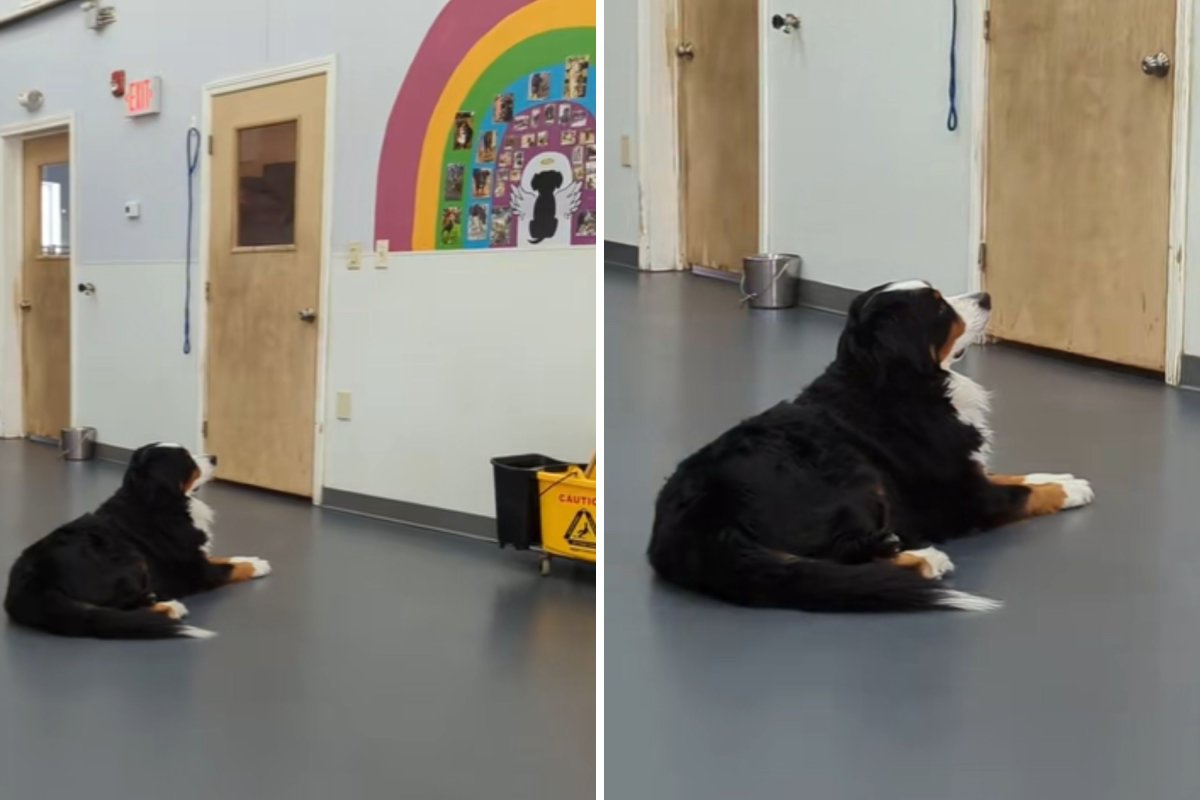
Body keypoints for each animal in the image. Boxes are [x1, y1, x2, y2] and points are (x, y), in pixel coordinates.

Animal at [5, 441, 272, 642]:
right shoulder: (194, 571)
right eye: (187, 460)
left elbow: (224, 557)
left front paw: (253, 558)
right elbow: (229, 568)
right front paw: (257, 566)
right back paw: (170, 607)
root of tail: (27, 583)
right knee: (119, 607)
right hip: (129, 559)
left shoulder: (196, 554)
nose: (214, 457)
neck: (163, 505)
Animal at [648, 281, 1099, 614]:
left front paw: (1064, 478)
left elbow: (1014, 475)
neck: (901, 385)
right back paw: (925, 558)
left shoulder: (965, 468)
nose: (985, 296)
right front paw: (1067, 490)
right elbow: (1022, 494)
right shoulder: (963, 499)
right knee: (840, 554)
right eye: (939, 307)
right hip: (854, 474)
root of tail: (690, 521)